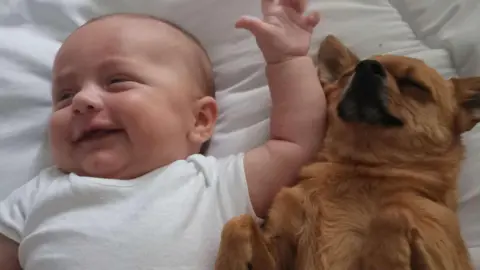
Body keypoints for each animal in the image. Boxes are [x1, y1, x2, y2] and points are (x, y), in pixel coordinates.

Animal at [216, 34, 478, 268]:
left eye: (414, 85)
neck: (359, 170)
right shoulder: (278, 249)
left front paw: (383, 256)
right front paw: (228, 263)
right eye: (347, 75)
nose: (367, 66)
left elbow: (393, 213)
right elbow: (236, 223)